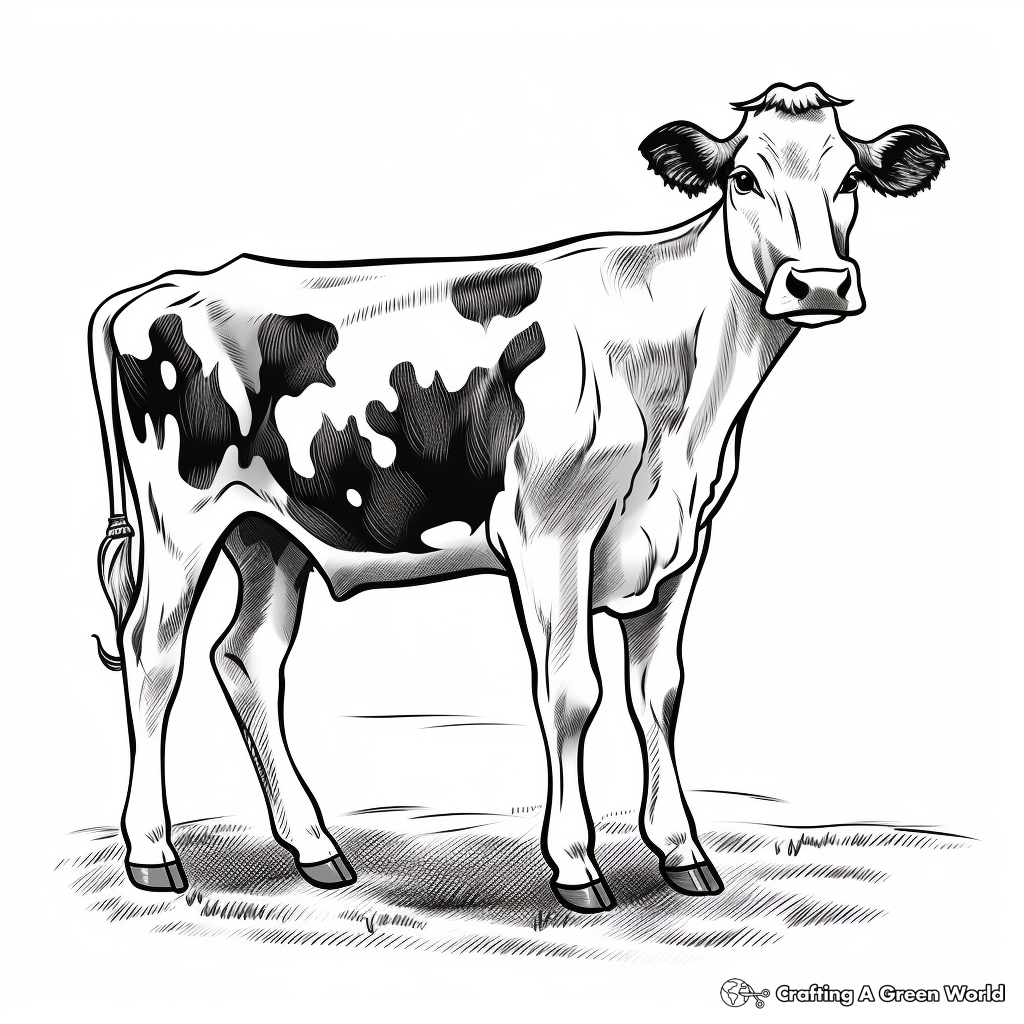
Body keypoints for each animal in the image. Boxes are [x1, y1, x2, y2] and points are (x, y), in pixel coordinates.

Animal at [90, 83, 946, 913]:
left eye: (850, 179)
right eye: (743, 178)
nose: (819, 285)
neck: (684, 392)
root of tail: (160, 289)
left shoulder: (681, 539)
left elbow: (659, 693)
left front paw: (683, 853)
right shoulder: (550, 532)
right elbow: (572, 694)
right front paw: (576, 866)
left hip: (271, 532)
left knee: (247, 658)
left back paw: (315, 849)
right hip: (180, 518)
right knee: (153, 654)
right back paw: (152, 853)